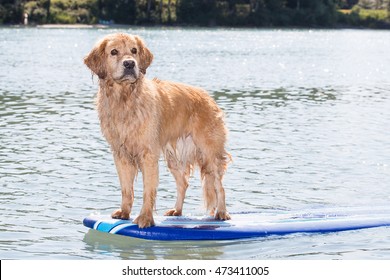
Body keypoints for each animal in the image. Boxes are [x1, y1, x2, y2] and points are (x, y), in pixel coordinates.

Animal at [84, 32, 230, 228]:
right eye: (114, 52)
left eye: (134, 50)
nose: (129, 64)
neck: (125, 99)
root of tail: (208, 97)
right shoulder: (121, 154)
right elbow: (126, 189)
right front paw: (124, 212)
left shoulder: (148, 154)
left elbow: (148, 190)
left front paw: (145, 218)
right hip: (174, 157)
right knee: (183, 183)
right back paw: (177, 210)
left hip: (209, 152)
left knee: (219, 186)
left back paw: (221, 212)